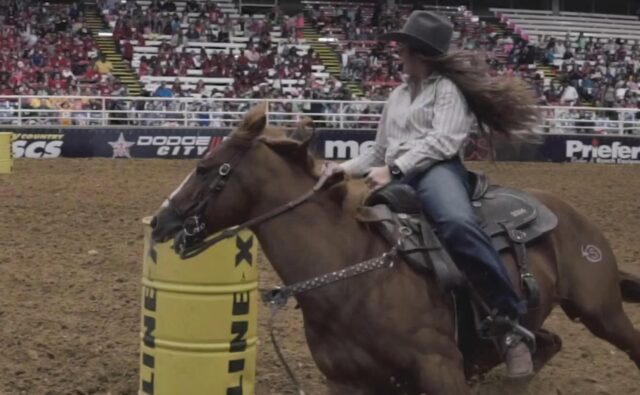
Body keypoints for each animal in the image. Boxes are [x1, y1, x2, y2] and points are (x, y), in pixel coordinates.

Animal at [149, 105, 640, 395]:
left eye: (205, 167)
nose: (159, 221)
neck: (351, 275)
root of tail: (571, 216)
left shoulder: (440, 370)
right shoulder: (346, 383)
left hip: (601, 311)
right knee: (547, 342)